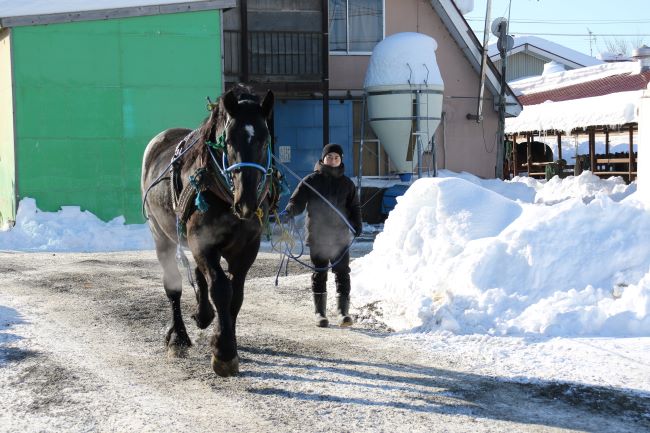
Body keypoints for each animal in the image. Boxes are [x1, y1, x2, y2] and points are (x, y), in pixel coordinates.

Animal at [140, 86, 272, 376]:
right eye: (229, 141)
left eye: (264, 140)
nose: (247, 202)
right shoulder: (202, 242)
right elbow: (221, 289)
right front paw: (223, 352)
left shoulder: (248, 247)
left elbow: (236, 295)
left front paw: (225, 338)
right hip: (160, 234)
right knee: (174, 287)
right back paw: (178, 336)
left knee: (201, 276)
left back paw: (204, 314)